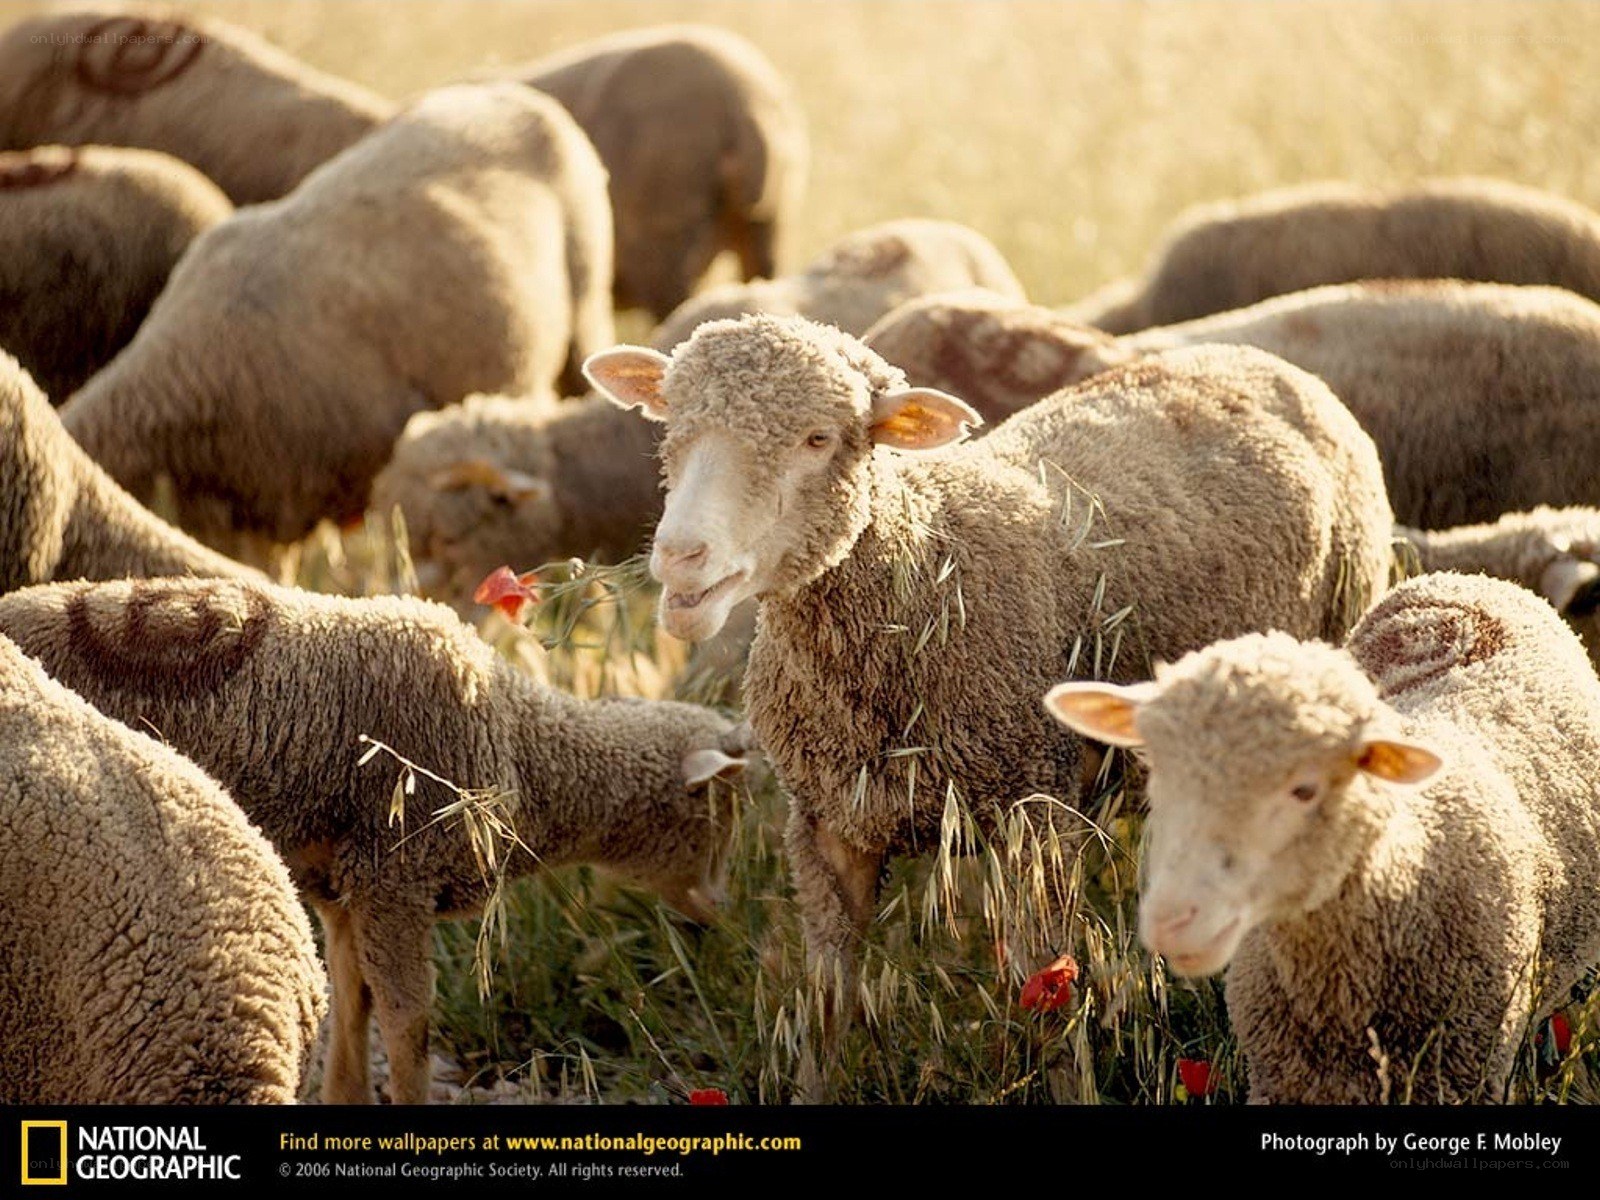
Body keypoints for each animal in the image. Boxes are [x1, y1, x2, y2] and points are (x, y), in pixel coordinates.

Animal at [584, 318, 1394, 1047]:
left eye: (818, 439)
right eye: (672, 425)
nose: (682, 556)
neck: (928, 568)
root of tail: (1255, 360)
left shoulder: (1036, 820)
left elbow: (1051, 1006)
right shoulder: (826, 827)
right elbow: (828, 1004)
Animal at [1046, 572, 1600, 1103]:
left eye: (1304, 790)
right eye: (1158, 769)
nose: (1171, 921)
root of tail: (1467, 580)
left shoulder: (1465, 1067)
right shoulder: (1280, 1074)